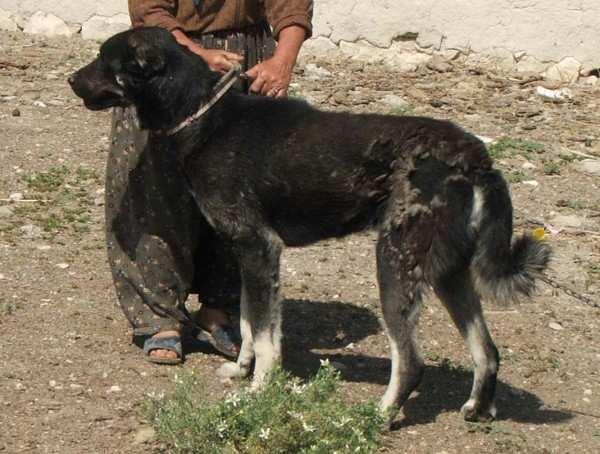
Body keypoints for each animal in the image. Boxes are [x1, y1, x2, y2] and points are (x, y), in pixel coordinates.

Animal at [69, 27, 548, 422]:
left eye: (104, 59)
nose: (72, 80)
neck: (204, 116)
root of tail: (474, 155)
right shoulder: (253, 257)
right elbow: (252, 326)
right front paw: (243, 372)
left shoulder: (258, 247)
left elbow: (264, 336)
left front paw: (257, 391)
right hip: (449, 274)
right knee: (487, 351)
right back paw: (477, 410)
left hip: (394, 264)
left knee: (412, 361)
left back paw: (380, 415)